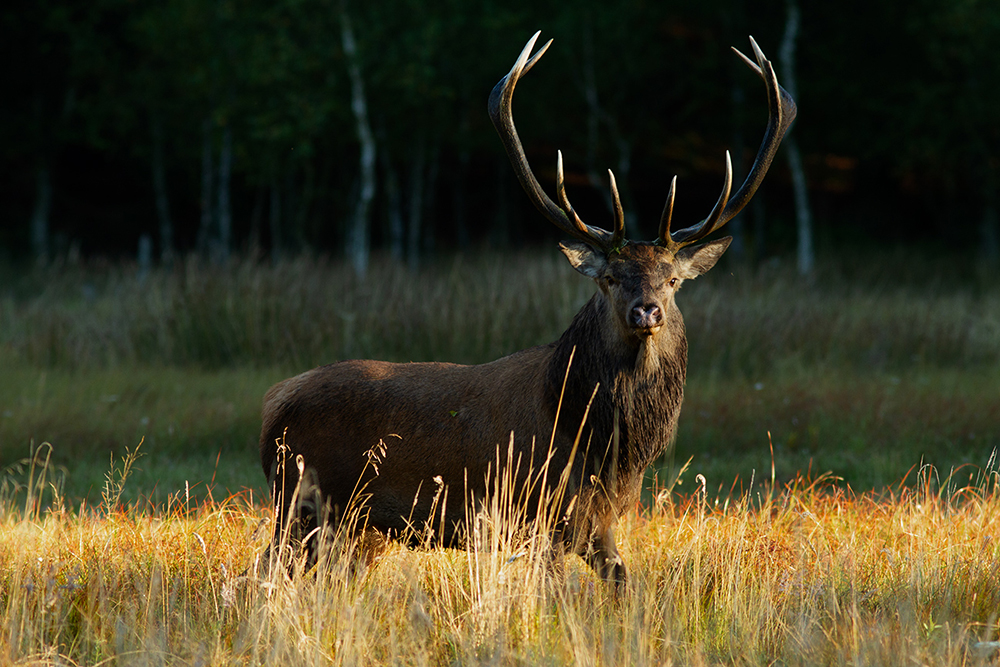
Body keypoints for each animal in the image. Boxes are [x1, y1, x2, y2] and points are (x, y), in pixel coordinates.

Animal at [259, 32, 796, 587]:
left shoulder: (598, 521)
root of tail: (273, 404)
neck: (604, 445)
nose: (646, 312)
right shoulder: (539, 513)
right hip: (301, 504)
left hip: (353, 527)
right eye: (609, 279)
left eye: (672, 281)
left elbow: (625, 585)